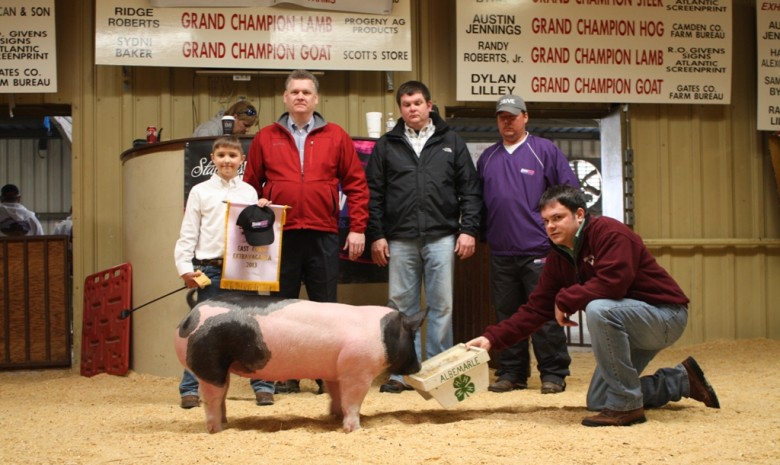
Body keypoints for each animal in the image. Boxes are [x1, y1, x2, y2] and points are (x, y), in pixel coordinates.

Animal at [175, 292, 426, 434]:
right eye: (413, 336)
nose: (419, 367)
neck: (383, 335)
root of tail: (192, 313)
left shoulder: (336, 370)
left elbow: (337, 396)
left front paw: (335, 417)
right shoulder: (358, 371)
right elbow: (353, 401)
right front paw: (355, 429)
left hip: (221, 367)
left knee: (221, 397)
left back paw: (226, 424)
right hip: (209, 364)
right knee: (212, 399)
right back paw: (217, 430)